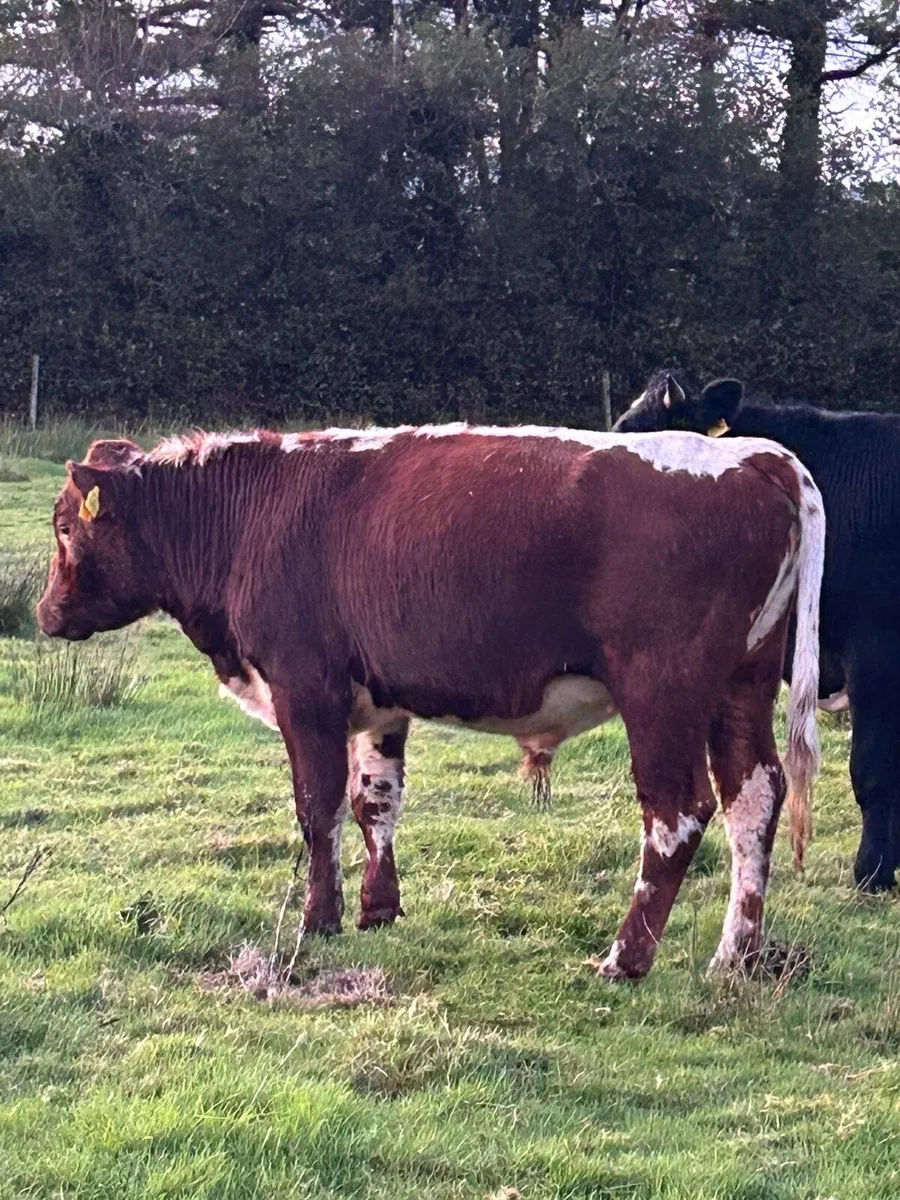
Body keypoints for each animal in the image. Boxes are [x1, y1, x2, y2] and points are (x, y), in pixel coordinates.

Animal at [37, 423, 824, 980]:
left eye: (67, 529)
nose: (45, 614)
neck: (253, 512)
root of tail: (750, 454)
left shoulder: (305, 690)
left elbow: (316, 807)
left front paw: (317, 920)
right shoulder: (377, 703)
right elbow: (374, 801)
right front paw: (378, 909)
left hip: (661, 691)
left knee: (677, 813)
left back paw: (625, 959)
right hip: (741, 685)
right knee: (753, 798)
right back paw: (737, 954)